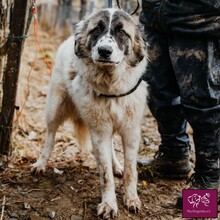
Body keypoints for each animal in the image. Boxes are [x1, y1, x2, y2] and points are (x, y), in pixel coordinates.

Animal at [31, 8, 149, 218]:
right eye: (97, 29)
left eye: (121, 32)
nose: (104, 51)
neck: (111, 89)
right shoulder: (99, 132)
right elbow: (106, 175)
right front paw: (109, 204)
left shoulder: (130, 131)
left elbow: (131, 170)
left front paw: (131, 198)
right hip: (54, 108)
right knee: (50, 137)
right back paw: (41, 163)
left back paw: (117, 166)